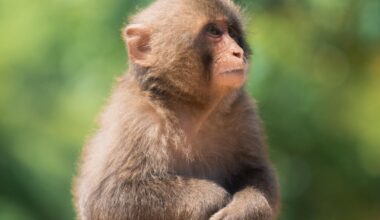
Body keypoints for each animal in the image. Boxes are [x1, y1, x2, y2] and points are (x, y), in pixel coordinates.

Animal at [73, 0, 280, 219]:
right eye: (214, 32)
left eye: (231, 32)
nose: (237, 52)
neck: (190, 107)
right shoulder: (135, 121)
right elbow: (107, 197)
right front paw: (212, 197)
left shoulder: (242, 111)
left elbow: (256, 171)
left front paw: (243, 211)